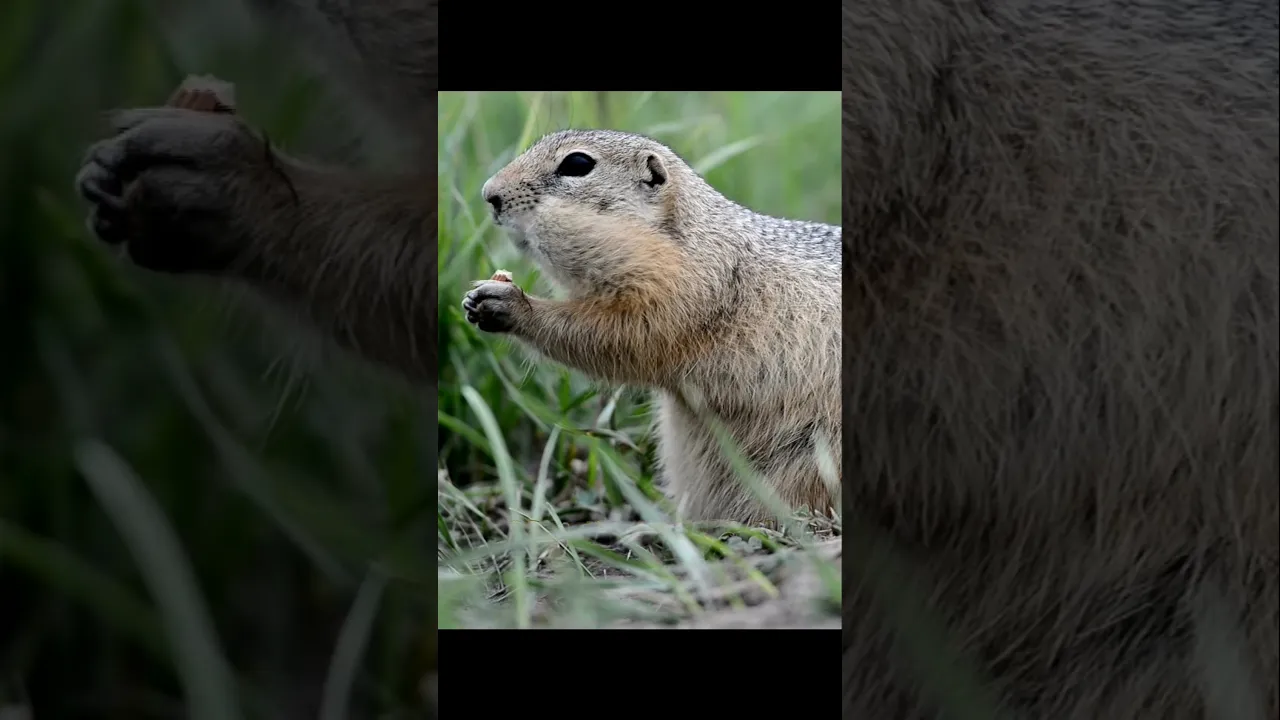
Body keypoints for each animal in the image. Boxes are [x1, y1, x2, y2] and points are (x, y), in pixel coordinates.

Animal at [462, 129, 841, 526]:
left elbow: (615, 336)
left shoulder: (678, 294)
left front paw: (510, 303)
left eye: (578, 164)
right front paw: (474, 299)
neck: (693, 240)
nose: (490, 194)